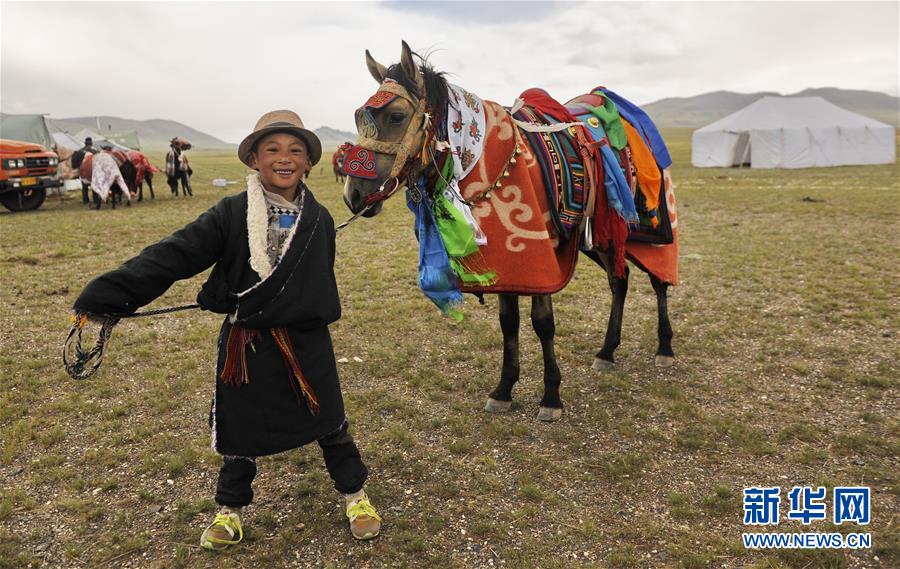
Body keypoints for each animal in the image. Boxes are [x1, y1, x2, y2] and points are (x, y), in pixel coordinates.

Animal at [342, 42, 676, 420]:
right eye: (359, 117)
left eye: (396, 117)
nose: (353, 195)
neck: (482, 157)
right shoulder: (509, 264)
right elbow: (509, 322)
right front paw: (503, 389)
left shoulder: (541, 256)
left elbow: (543, 322)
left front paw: (551, 396)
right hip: (602, 236)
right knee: (620, 281)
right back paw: (607, 351)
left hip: (649, 231)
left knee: (658, 279)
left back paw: (664, 347)